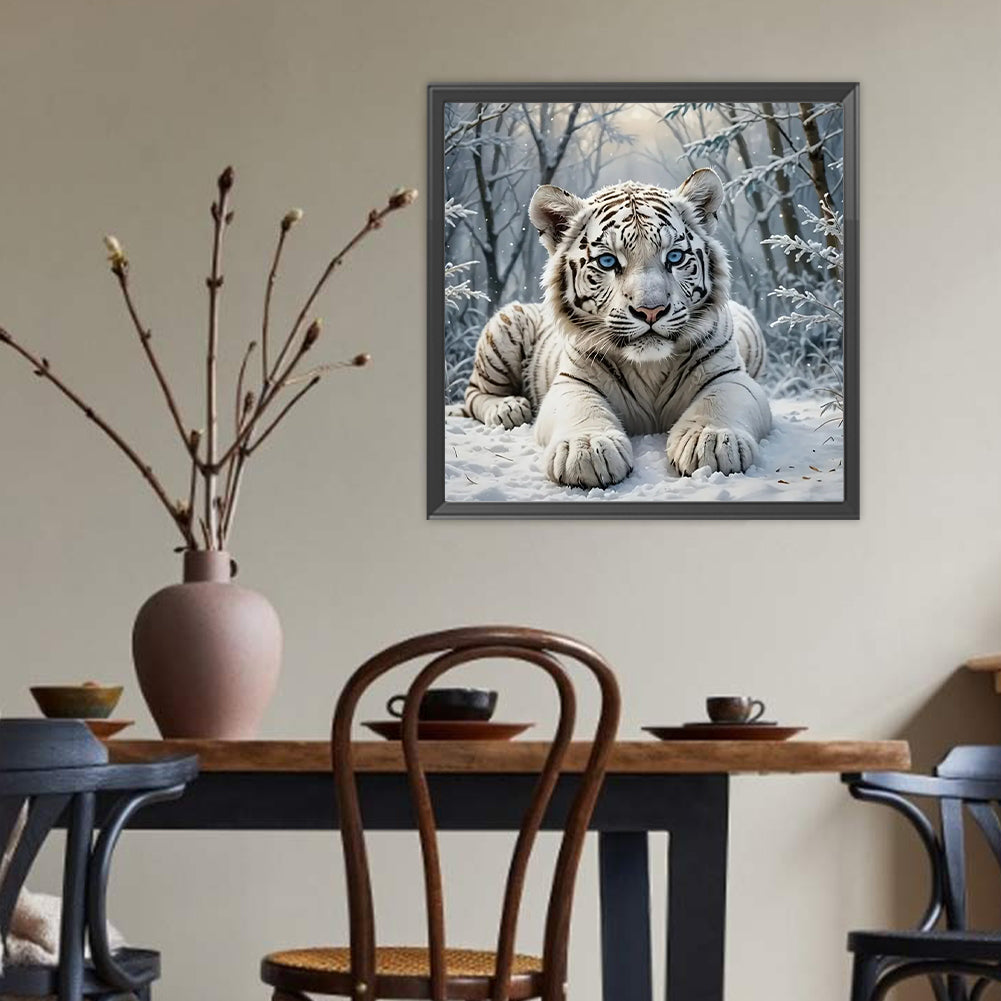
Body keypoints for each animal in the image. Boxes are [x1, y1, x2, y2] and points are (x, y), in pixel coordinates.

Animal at [456, 169, 772, 488]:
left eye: (674, 257)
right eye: (608, 261)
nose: (651, 310)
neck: (650, 365)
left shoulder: (730, 376)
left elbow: (718, 403)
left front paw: (710, 439)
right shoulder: (572, 382)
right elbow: (582, 407)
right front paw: (586, 449)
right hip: (505, 325)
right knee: (473, 394)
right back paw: (508, 408)